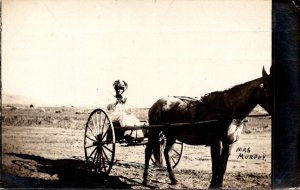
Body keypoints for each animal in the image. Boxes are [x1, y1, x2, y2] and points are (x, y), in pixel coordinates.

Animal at [142, 67, 272, 189]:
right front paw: (212, 185)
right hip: (154, 131)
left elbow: (223, 166)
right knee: (148, 151)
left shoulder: (229, 142)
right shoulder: (215, 142)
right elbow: (215, 165)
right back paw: (145, 179)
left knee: (166, 152)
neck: (226, 109)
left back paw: (173, 179)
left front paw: (219, 185)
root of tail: (155, 105)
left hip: (171, 135)